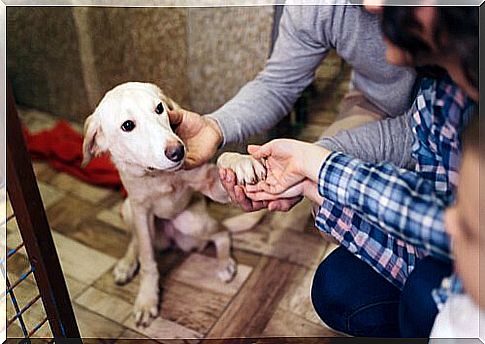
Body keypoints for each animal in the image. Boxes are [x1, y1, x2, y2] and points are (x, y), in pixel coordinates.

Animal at [82, 82, 264, 326]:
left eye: (159, 108)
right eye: (127, 125)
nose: (178, 151)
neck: (159, 176)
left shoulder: (211, 184)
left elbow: (224, 161)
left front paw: (241, 161)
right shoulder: (140, 211)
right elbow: (147, 259)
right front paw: (147, 298)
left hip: (193, 222)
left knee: (222, 232)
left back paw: (224, 262)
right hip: (128, 209)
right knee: (137, 241)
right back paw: (127, 264)